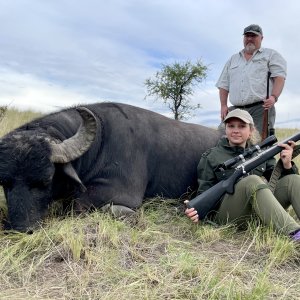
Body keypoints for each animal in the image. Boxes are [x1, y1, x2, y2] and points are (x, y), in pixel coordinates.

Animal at [0, 102, 220, 231]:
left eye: (46, 180)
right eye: (4, 183)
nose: (20, 229)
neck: (101, 139)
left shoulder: (120, 193)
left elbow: (77, 205)